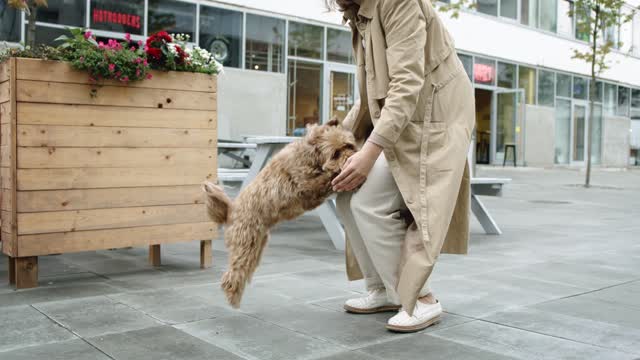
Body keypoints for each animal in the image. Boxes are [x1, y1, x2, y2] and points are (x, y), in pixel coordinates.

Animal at [204, 120, 358, 306]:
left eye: (348, 145)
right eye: (335, 153)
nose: (351, 157)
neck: (311, 155)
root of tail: (230, 211)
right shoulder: (307, 187)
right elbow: (326, 178)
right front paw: (338, 174)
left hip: (257, 246)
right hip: (245, 243)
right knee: (232, 275)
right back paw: (233, 297)